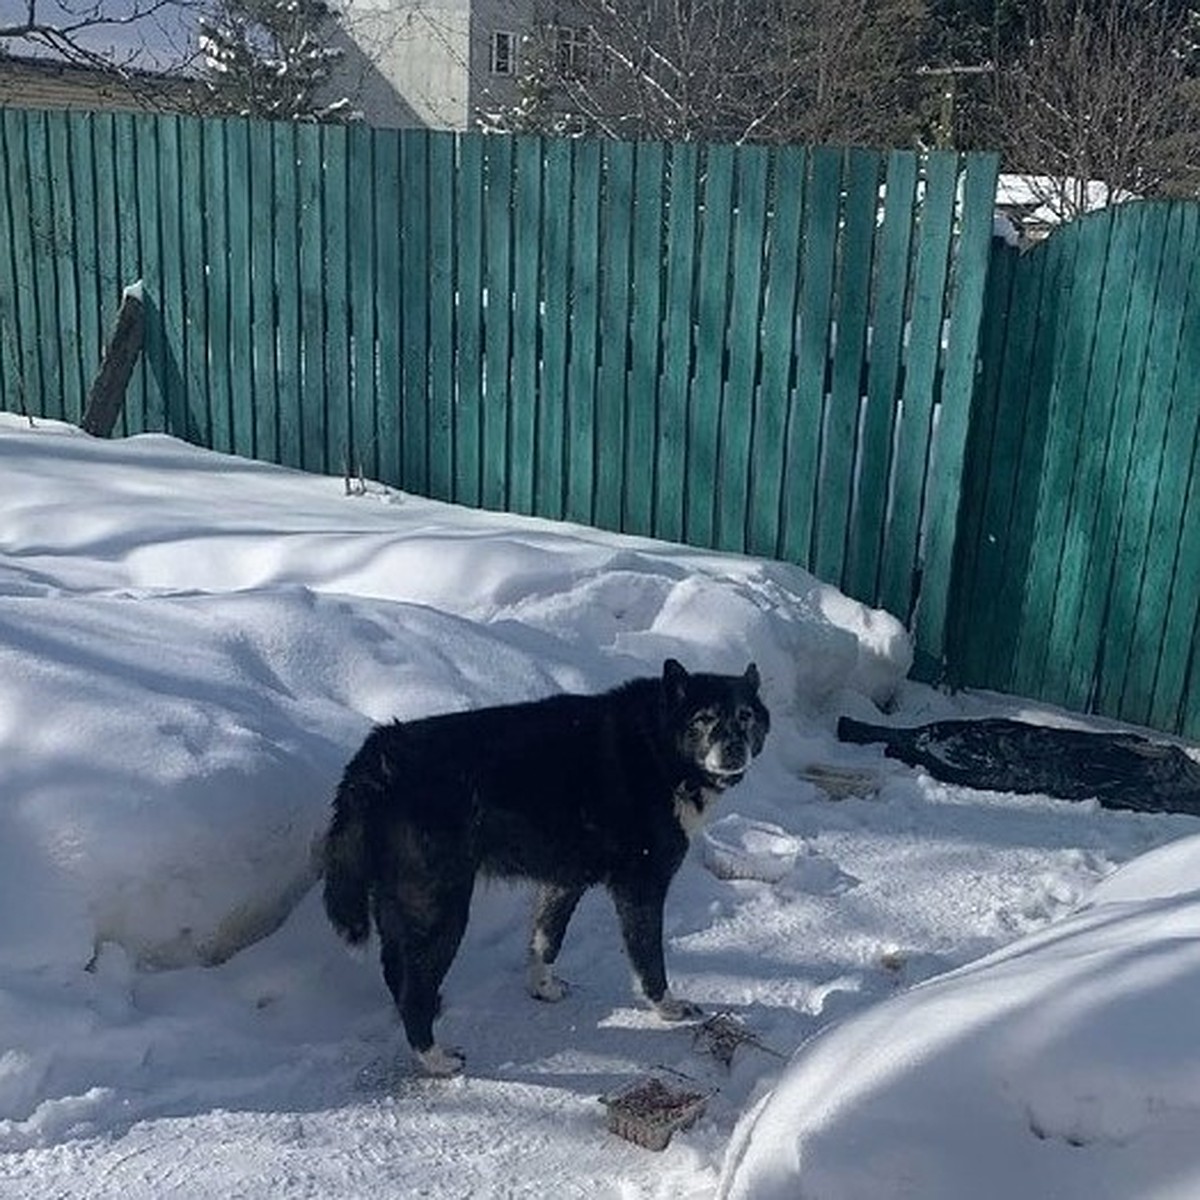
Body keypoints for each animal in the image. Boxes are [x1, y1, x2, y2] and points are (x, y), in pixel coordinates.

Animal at [319, 662, 768, 1075]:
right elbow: (649, 961)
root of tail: (377, 758)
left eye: (745, 715)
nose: (734, 749)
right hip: (442, 910)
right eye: (703, 718)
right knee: (413, 993)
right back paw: (435, 1058)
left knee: (398, 974)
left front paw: (543, 989)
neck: (655, 744)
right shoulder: (642, 888)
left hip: (405, 906)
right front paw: (666, 1007)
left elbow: (545, 942)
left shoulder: (562, 883)